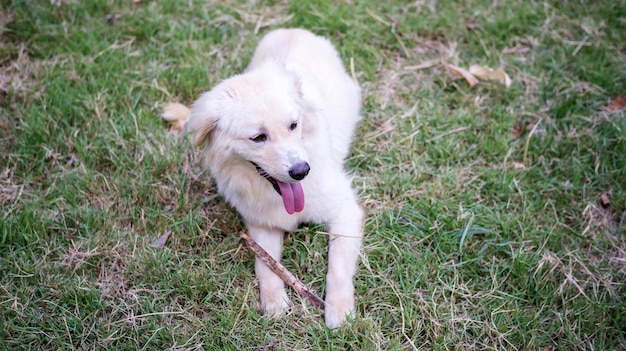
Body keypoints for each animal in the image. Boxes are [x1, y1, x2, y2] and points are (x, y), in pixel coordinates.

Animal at [163, 28, 364, 328]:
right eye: (258, 137)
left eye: (293, 125)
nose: (301, 171)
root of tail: (294, 30)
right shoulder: (260, 224)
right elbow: (266, 265)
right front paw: (274, 304)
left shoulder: (345, 209)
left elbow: (337, 266)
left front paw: (339, 312)